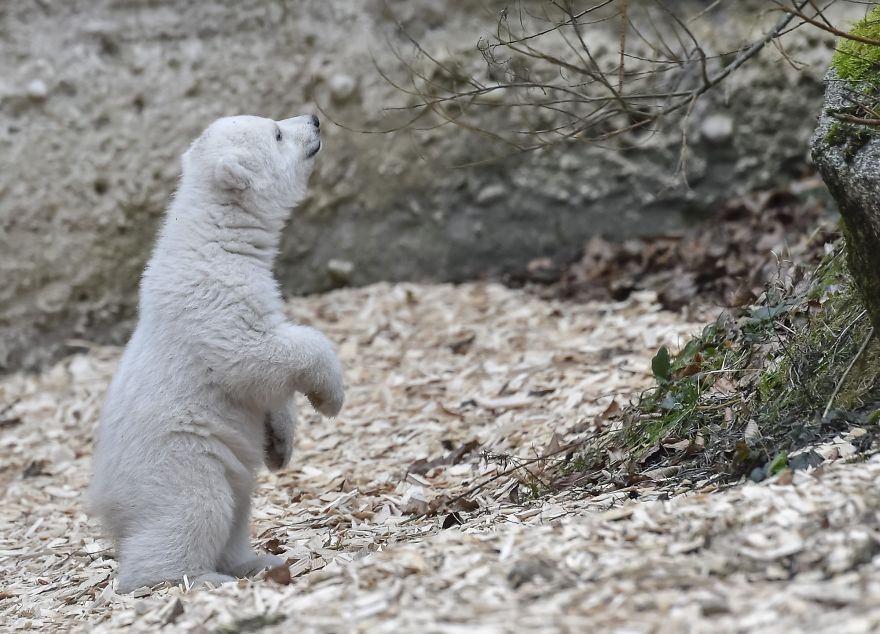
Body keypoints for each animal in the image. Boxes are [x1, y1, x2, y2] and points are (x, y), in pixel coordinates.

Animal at [88, 114, 344, 593]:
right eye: (277, 133)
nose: (315, 119)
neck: (214, 235)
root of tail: (105, 502)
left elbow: (267, 389)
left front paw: (281, 445)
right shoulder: (216, 295)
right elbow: (254, 355)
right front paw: (330, 397)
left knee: (238, 510)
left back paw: (256, 559)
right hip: (178, 459)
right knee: (196, 510)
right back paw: (197, 578)